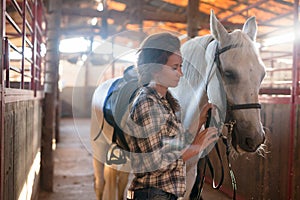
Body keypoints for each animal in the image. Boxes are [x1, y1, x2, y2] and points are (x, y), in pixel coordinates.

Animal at [90, 10, 266, 200]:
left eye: (262, 74)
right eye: (229, 73)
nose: (255, 139)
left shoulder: (189, 175)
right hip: (100, 148)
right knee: (101, 184)